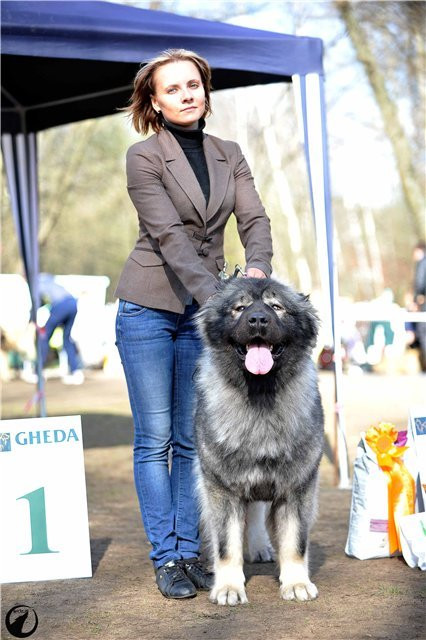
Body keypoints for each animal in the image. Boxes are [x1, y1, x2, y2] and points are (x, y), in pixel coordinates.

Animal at [195, 276, 324, 604]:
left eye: (276, 306)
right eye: (240, 308)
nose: (257, 319)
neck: (260, 395)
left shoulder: (296, 488)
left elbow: (295, 541)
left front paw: (296, 583)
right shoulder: (223, 488)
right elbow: (227, 544)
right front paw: (229, 587)